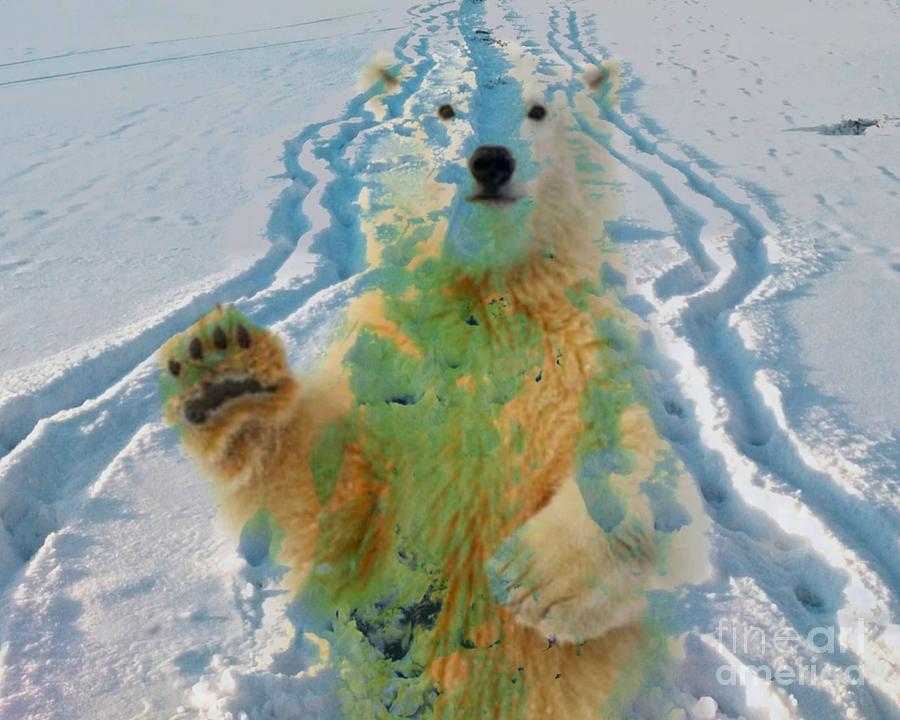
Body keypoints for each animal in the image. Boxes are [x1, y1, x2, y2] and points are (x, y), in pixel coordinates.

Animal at [159, 51, 709, 720]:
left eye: (538, 108)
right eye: (445, 107)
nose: (491, 160)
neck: (486, 295)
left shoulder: (577, 357)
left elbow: (654, 478)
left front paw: (535, 578)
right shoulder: (388, 371)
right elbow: (328, 503)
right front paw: (225, 376)